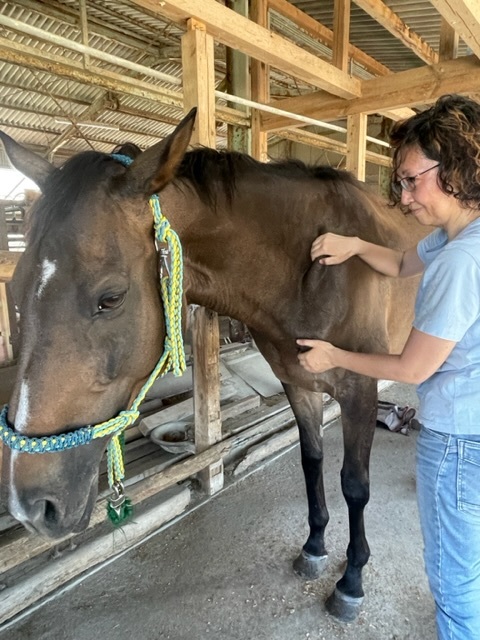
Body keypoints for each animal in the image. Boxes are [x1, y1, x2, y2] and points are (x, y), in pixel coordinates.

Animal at [0, 110, 424, 620]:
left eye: (111, 298)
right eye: (17, 287)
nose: (29, 506)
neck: (313, 267)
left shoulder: (360, 391)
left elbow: (355, 485)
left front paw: (352, 580)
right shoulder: (298, 385)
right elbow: (312, 463)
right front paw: (315, 547)